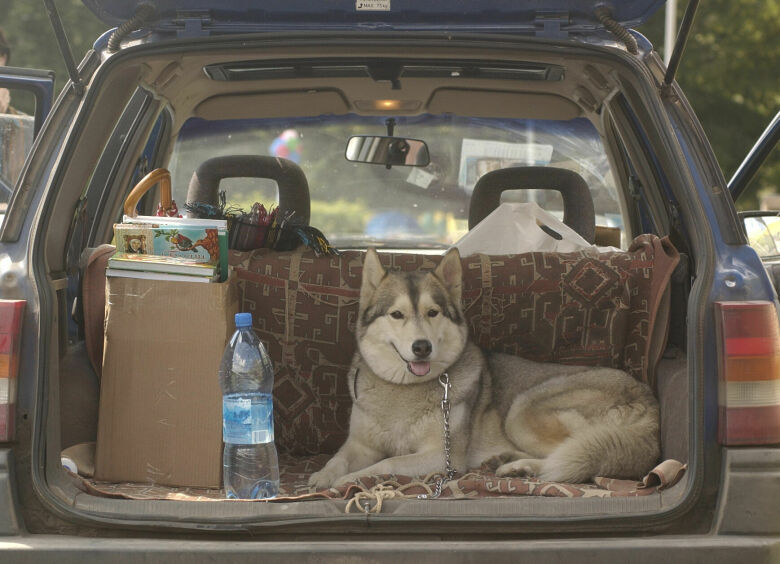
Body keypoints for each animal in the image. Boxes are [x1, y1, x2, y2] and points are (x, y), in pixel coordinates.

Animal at [308, 247, 660, 490]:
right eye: (396, 314)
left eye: (433, 312)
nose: (422, 347)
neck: (403, 389)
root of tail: (648, 398)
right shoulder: (360, 444)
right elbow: (339, 458)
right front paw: (322, 476)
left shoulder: (444, 456)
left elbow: (387, 462)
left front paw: (351, 480)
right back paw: (507, 461)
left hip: (523, 410)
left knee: (566, 456)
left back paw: (520, 467)